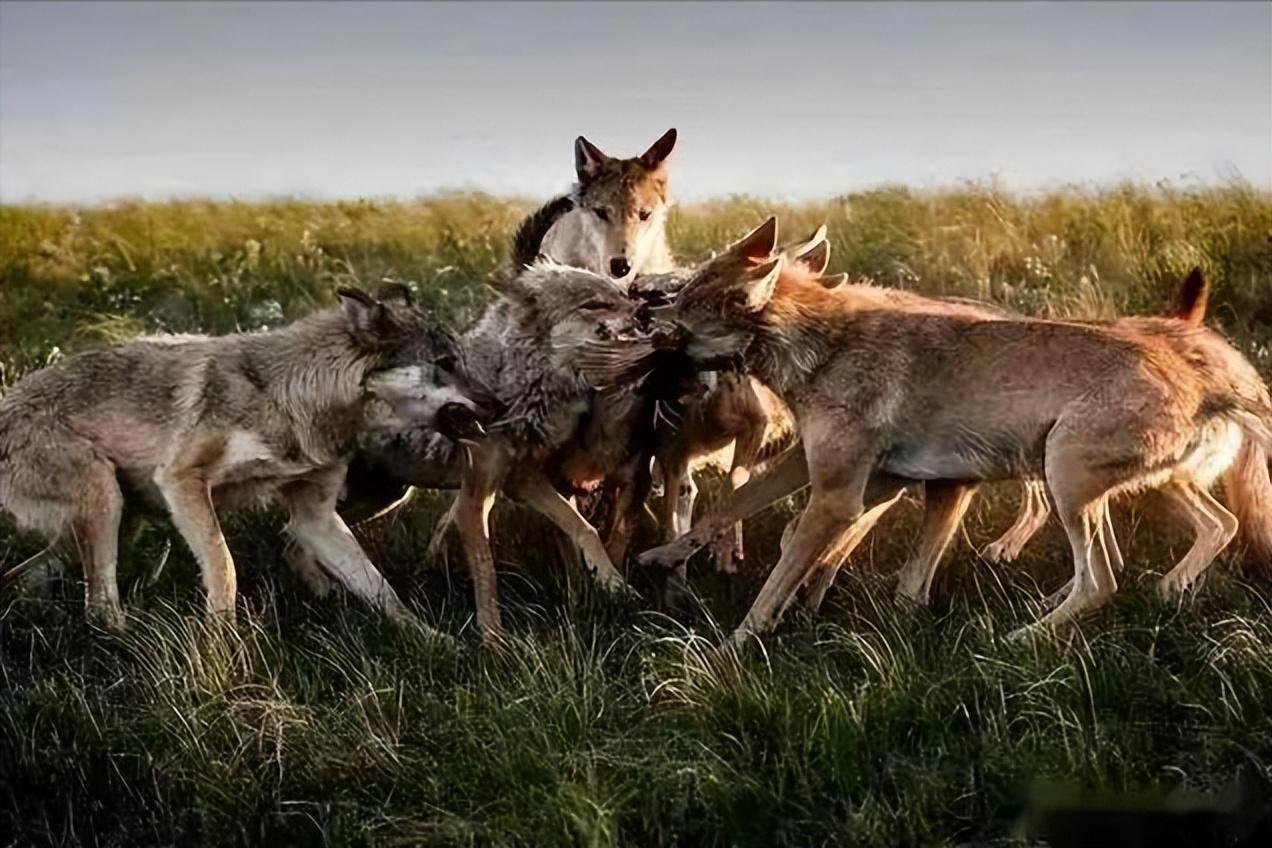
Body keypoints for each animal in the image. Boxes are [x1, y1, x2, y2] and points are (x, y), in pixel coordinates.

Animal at [636, 218, 1272, 643]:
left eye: (682, 304)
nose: (641, 307)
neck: (823, 345)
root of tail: (1210, 373)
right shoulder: (827, 470)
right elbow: (728, 509)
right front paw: (664, 556)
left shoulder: (839, 497)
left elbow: (777, 580)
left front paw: (733, 647)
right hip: (1111, 487)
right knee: (1181, 539)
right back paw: (1148, 594)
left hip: (1066, 478)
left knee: (1105, 579)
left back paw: (1022, 639)